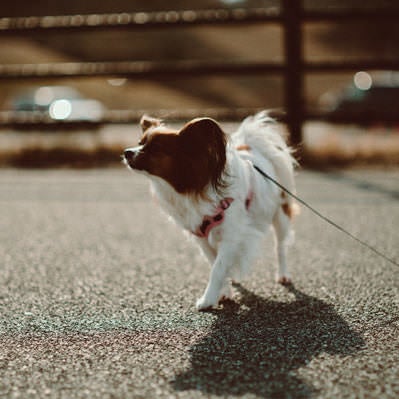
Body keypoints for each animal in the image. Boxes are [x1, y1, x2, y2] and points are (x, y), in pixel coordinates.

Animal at [123, 112, 298, 312]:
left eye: (156, 148)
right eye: (140, 142)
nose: (126, 152)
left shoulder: (231, 236)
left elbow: (218, 269)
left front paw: (207, 300)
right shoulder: (202, 236)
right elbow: (215, 264)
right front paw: (224, 292)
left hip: (281, 216)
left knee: (280, 247)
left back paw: (283, 274)